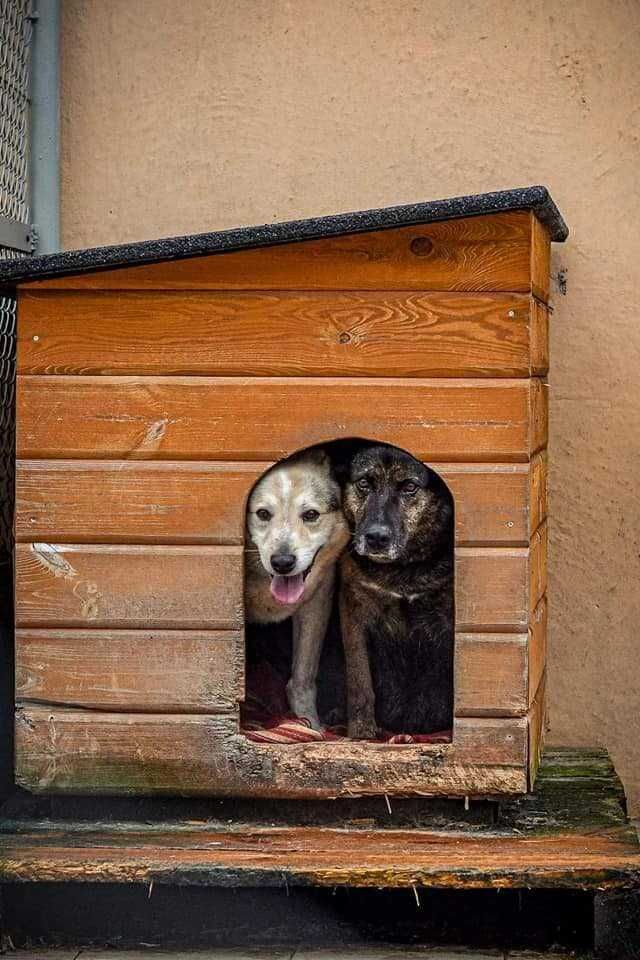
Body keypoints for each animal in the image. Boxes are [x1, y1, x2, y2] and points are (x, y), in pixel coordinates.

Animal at [245, 450, 348, 728]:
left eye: (310, 515)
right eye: (263, 514)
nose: (282, 562)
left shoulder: (317, 601)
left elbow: (303, 678)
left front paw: (310, 724)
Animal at [340, 446, 456, 740]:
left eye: (409, 487)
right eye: (364, 483)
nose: (376, 538)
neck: (403, 569)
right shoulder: (353, 615)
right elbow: (359, 682)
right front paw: (361, 731)